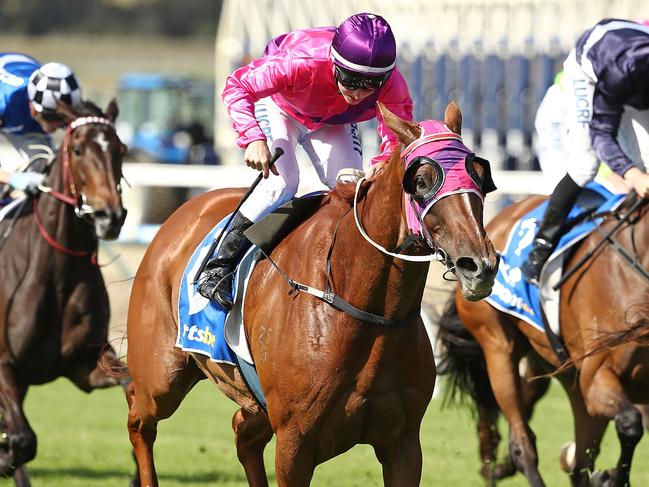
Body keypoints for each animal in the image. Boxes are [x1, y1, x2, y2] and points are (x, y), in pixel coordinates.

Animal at [0, 101, 128, 486]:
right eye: (78, 149)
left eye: (121, 149)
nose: (109, 216)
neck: (57, 272)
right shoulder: (4, 364)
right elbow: (23, 439)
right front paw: (6, 453)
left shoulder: (84, 363)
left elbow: (132, 384)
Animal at [124, 103, 498, 487]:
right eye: (421, 181)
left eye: (480, 177)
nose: (477, 264)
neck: (363, 307)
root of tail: (178, 215)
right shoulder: (295, 442)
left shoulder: (403, 443)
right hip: (162, 377)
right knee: (139, 418)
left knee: (242, 433)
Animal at [436, 194, 648, 487]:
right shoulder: (597, 376)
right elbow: (630, 423)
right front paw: (610, 477)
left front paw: (607, 476)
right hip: (498, 347)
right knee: (522, 442)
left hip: (558, 369)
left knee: (576, 455)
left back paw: (493, 464)